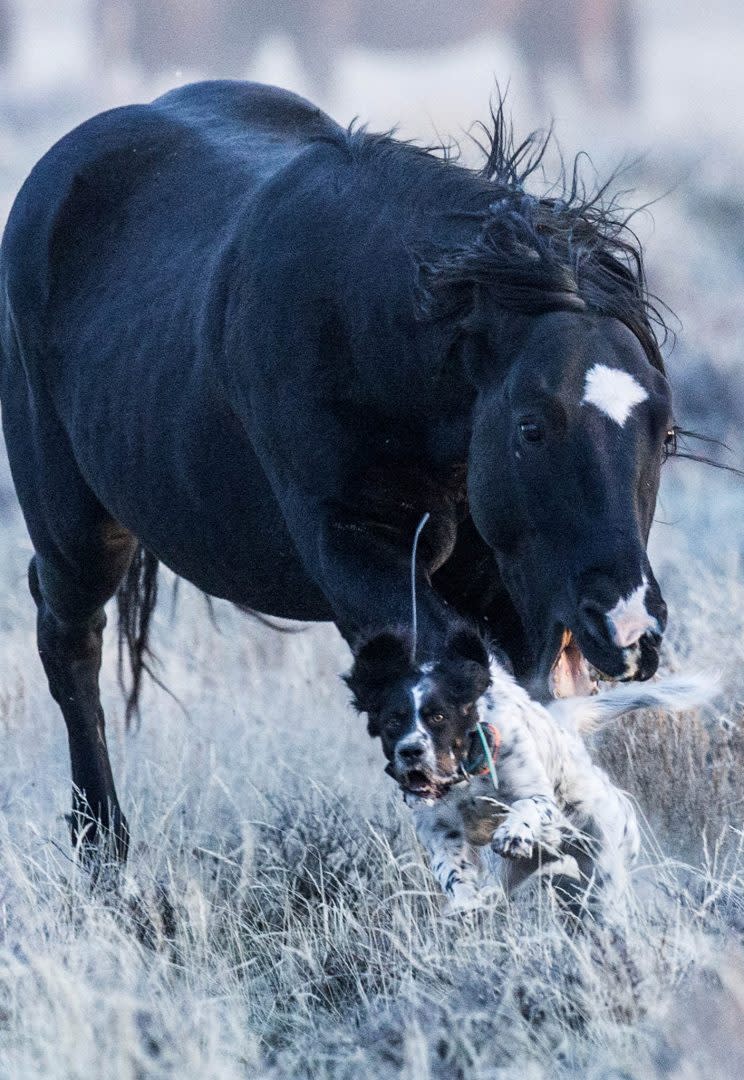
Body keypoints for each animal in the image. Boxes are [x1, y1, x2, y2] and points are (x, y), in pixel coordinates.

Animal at [0, 79, 669, 864]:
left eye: (666, 431)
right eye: (531, 427)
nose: (628, 627)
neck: (366, 332)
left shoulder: (493, 579)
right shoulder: (349, 546)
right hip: (75, 527)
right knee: (70, 641)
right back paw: (102, 844)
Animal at [345, 626, 712, 920]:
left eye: (438, 717)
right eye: (392, 721)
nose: (410, 752)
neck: (467, 775)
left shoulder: (535, 795)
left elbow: (526, 806)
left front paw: (512, 833)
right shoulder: (437, 827)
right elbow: (451, 867)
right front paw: (465, 901)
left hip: (605, 862)